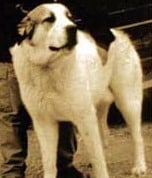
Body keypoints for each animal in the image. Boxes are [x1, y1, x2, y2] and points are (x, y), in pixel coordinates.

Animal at [10, 3, 146, 178]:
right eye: (49, 19)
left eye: (70, 17)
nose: (73, 29)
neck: (48, 67)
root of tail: (119, 33)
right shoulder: (43, 122)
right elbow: (49, 163)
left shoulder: (85, 119)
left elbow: (98, 159)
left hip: (128, 102)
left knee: (137, 137)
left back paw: (140, 166)